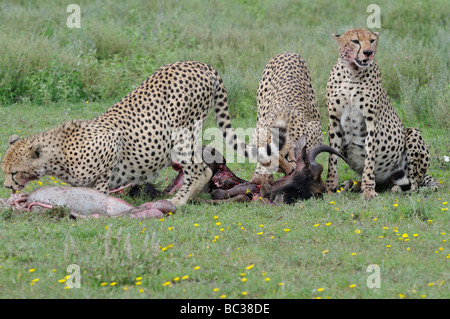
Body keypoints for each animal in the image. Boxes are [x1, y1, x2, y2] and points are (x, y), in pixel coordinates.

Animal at [0, 61, 284, 208]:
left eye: (13, 173)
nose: (7, 187)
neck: (56, 157)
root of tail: (200, 64)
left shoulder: (111, 144)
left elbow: (101, 185)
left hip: (181, 133)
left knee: (200, 170)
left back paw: (178, 201)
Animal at [326, 28, 438, 199]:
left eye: (372, 40)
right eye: (355, 41)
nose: (368, 52)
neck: (352, 73)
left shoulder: (371, 121)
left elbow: (370, 157)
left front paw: (368, 190)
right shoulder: (334, 120)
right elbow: (332, 158)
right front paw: (330, 188)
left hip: (412, 134)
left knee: (414, 183)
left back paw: (396, 187)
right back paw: (353, 185)